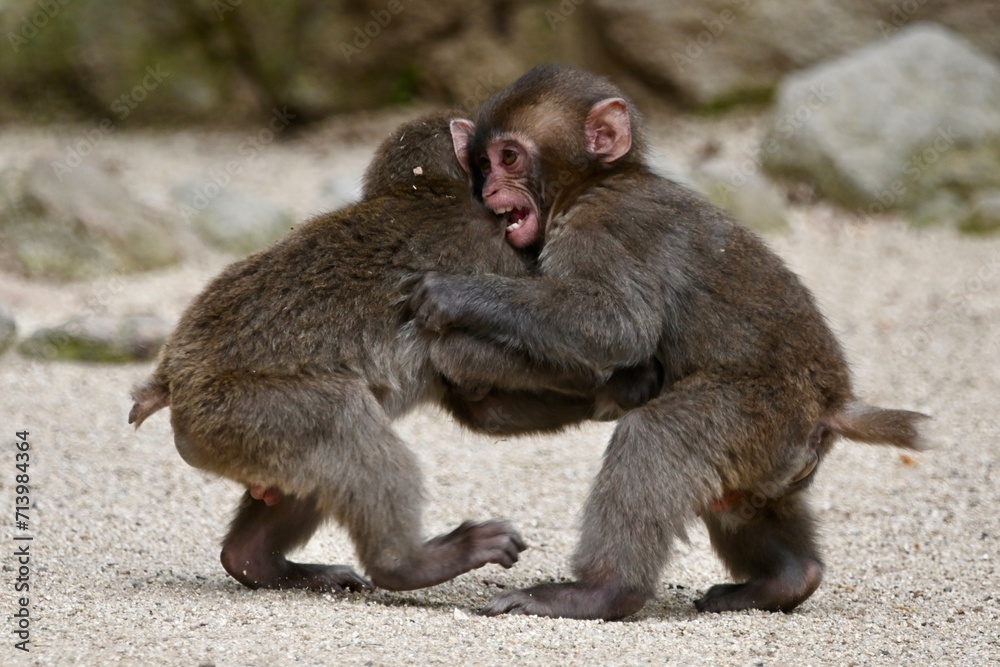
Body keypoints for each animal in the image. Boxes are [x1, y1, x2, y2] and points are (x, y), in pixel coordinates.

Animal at [131, 112, 648, 596]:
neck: (421, 186)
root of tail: (171, 379)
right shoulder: (491, 248)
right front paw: (622, 380)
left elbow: (484, 408)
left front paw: (615, 395)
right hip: (236, 412)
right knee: (342, 417)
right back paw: (407, 564)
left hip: (237, 437)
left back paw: (252, 559)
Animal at [408, 66, 928, 620]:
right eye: (481, 163)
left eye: (508, 157)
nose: (488, 190)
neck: (592, 184)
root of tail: (832, 405)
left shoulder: (605, 226)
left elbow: (617, 324)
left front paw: (454, 296)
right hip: (776, 457)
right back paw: (789, 578)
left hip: (761, 413)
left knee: (658, 436)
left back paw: (603, 591)